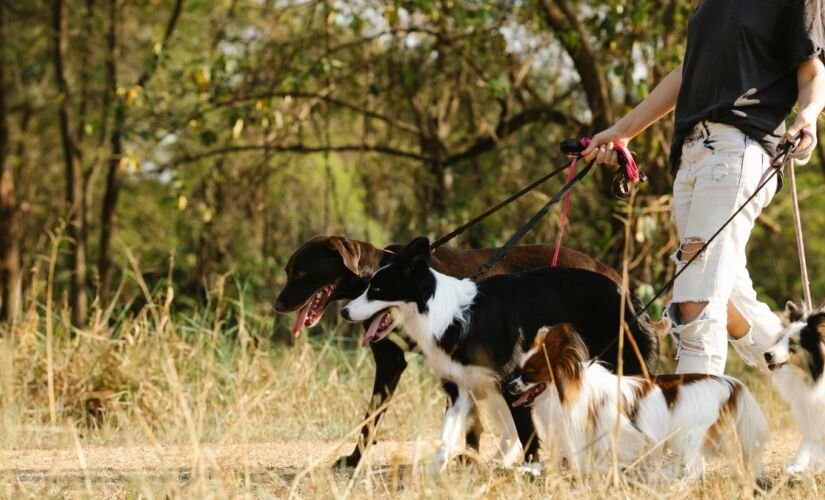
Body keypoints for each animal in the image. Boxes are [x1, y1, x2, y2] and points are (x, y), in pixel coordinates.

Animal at [274, 236, 620, 466]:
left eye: (301, 273)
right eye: (289, 271)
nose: (277, 305)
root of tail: (607, 271)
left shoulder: (404, 363)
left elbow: (371, 419)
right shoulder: (412, 362)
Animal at [506, 324, 768, 480]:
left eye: (529, 375)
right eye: (518, 372)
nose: (510, 386)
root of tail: (730, 383)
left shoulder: (627, 434)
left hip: (690, 434)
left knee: (695, 467)